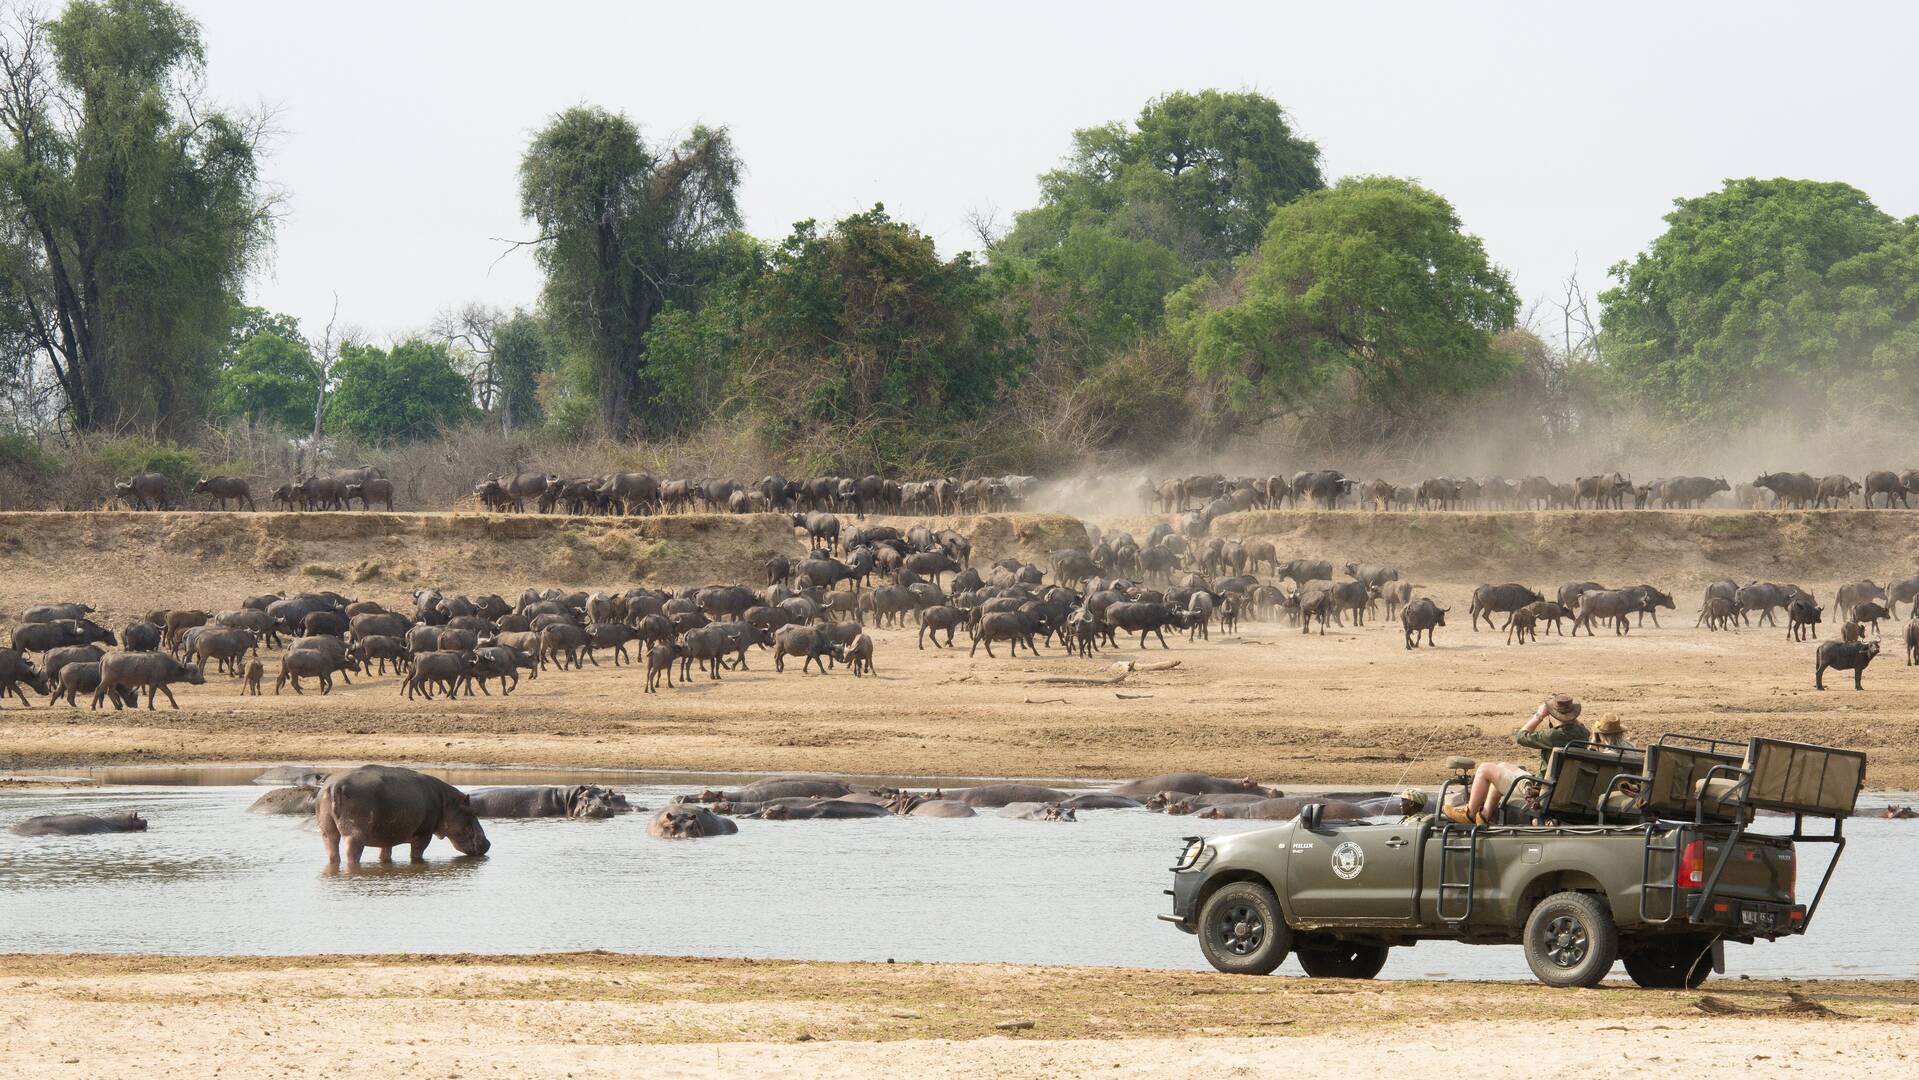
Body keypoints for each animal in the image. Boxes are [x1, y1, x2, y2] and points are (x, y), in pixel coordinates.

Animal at [316, 763, 491, 867]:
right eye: (473, 812)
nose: (488, 843)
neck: (447, 803)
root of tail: (335, 785)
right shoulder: (424, 833)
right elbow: (416, 854)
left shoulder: (387, 834)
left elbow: (385, 853)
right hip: (355, 834)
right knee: (351, 854)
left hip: (327, 831)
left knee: (332, 850)